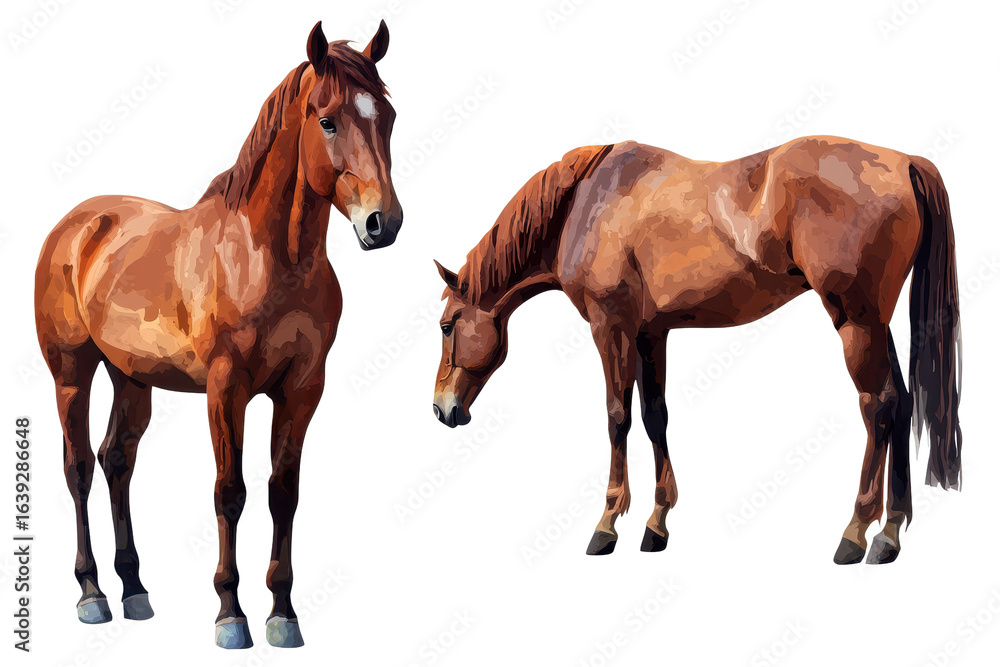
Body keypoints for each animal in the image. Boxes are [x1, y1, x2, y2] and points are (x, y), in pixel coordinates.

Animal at [34, 20, 401, 649]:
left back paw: (134, 590)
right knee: (78, 467)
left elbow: (283, 493)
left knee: (116, 460)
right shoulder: (226, 389)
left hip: (131, 378)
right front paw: (231, 615)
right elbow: (230, 493)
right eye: (328, 120)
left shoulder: (302, 390)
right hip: (71, 374)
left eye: (390, 117)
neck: (265, 256)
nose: (384, 223)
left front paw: (283, 613)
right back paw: (92, 594)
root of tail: (76, 224)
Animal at [432, 136, 961, 565]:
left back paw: (855, 532)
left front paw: (607, 525)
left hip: (856, 324)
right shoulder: (650, 333)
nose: (442, 409)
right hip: (877, 325)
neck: (587, 202)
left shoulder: (611, 327)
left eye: (446, 326)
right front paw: (656, 524)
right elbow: (654, 416)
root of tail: (906, 162)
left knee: (879, 407)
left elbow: (617, 416)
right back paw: (889, 533)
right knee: (902, 404)